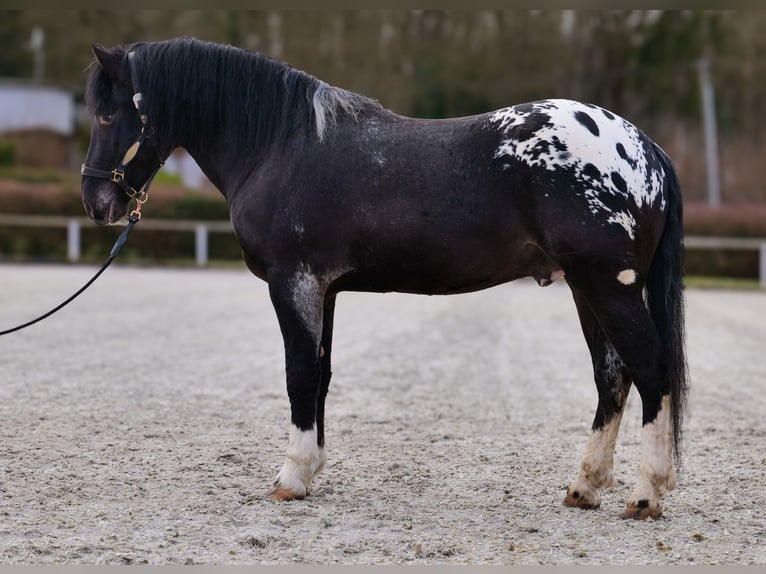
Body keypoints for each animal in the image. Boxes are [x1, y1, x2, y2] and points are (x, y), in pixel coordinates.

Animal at [79, 36, 688, 520]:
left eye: (107, 115)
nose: (96, 202)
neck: (279, 145)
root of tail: (646, 149)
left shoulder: (293, 281)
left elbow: (299, 375)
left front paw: (291, 478)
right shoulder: (323, 290)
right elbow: (321, 375)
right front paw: (311, 471)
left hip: (608, 285)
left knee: (650, 370)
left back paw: (646, 495)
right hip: (587, 288)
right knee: (613, 379)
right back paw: (584, 488)